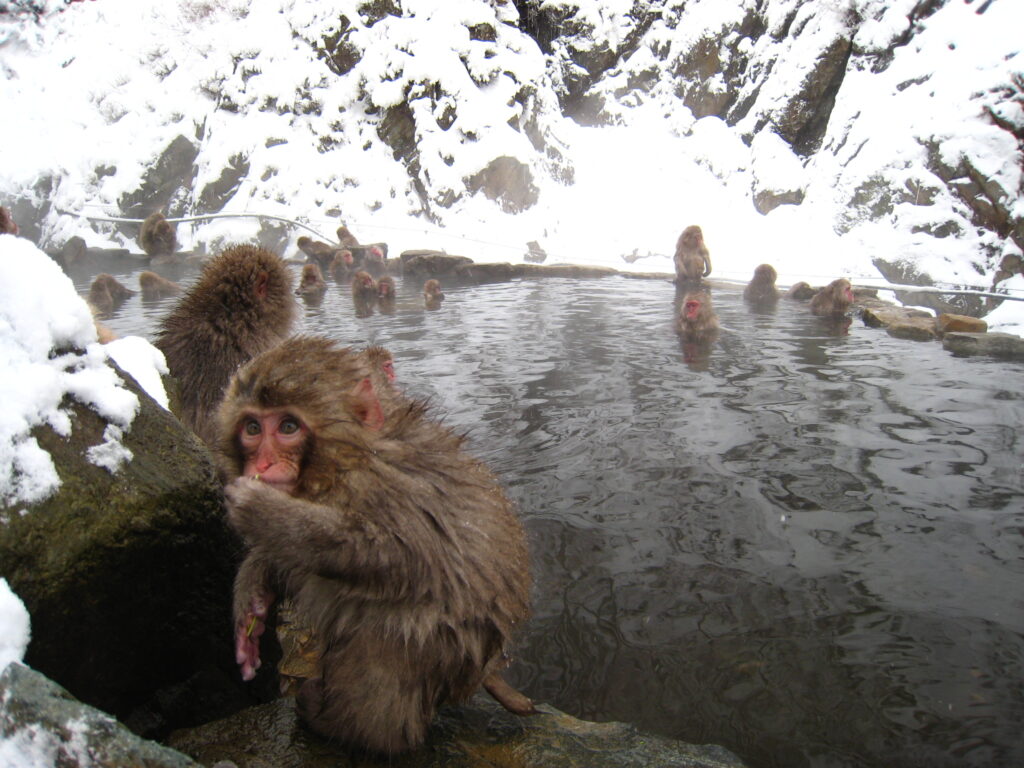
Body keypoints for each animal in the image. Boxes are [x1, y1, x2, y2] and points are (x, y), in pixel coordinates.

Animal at [217, 339, 536, 753]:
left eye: (288, 427)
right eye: (253, 428)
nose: (263, 465)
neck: (344, 462)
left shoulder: (389, 490)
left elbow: (402, 557)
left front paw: (268, 515)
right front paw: (252, 598)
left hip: (449, 657)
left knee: (392, 637)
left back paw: (346, 725)